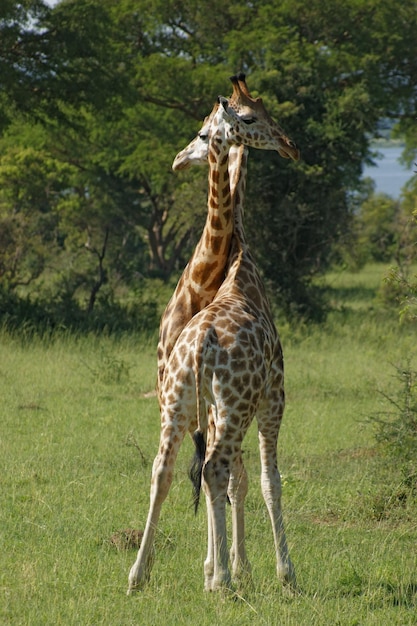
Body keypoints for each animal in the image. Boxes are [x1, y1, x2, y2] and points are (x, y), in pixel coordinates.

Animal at [127, 85, 300, 592]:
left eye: (204, 132)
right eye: (252, 116)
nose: (290, 144)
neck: (235, 263)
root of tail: (202, 340)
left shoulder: (211, 407)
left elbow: (229, 480)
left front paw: (230, 563)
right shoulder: (274, 396)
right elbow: (267, 478)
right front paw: (281, 571)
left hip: (182, 403)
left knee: (168, 469)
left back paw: (141, 574)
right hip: (231, 404)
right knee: (217, 467)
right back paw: (222, 577)